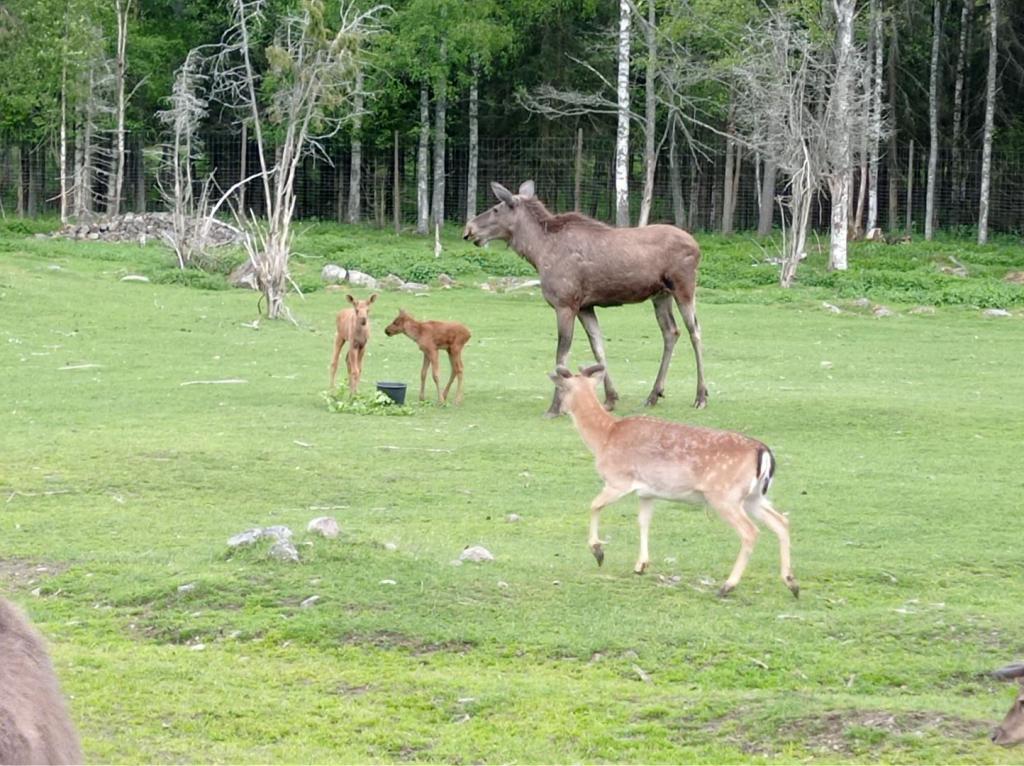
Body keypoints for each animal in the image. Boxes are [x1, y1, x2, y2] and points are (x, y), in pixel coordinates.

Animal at [462, 179, 704, 415]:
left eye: (495, 208)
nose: (469, 229)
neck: (538, 253)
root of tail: (697, 247)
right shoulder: (585, 306)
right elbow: (597, 346)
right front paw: (610, 398)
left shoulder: (565, 304)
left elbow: (561, 356)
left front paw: (555, 407)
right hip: (661, 295)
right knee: (671, 332)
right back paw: (654, 394)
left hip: (684, 287)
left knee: (695, 331)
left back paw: (701, 396)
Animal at [552, 364, 798, 598]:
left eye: (561, 389)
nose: (556, 410)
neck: (604, 437)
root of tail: (764, 452)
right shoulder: (647, 492)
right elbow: (643, 522)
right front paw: (641, 565)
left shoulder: (618, 480)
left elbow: (594, 505)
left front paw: (598, 552)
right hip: (752, 497)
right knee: (781, 521)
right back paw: (792, 584)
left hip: (725, 496)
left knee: (750, 532)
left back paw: (727, 586)